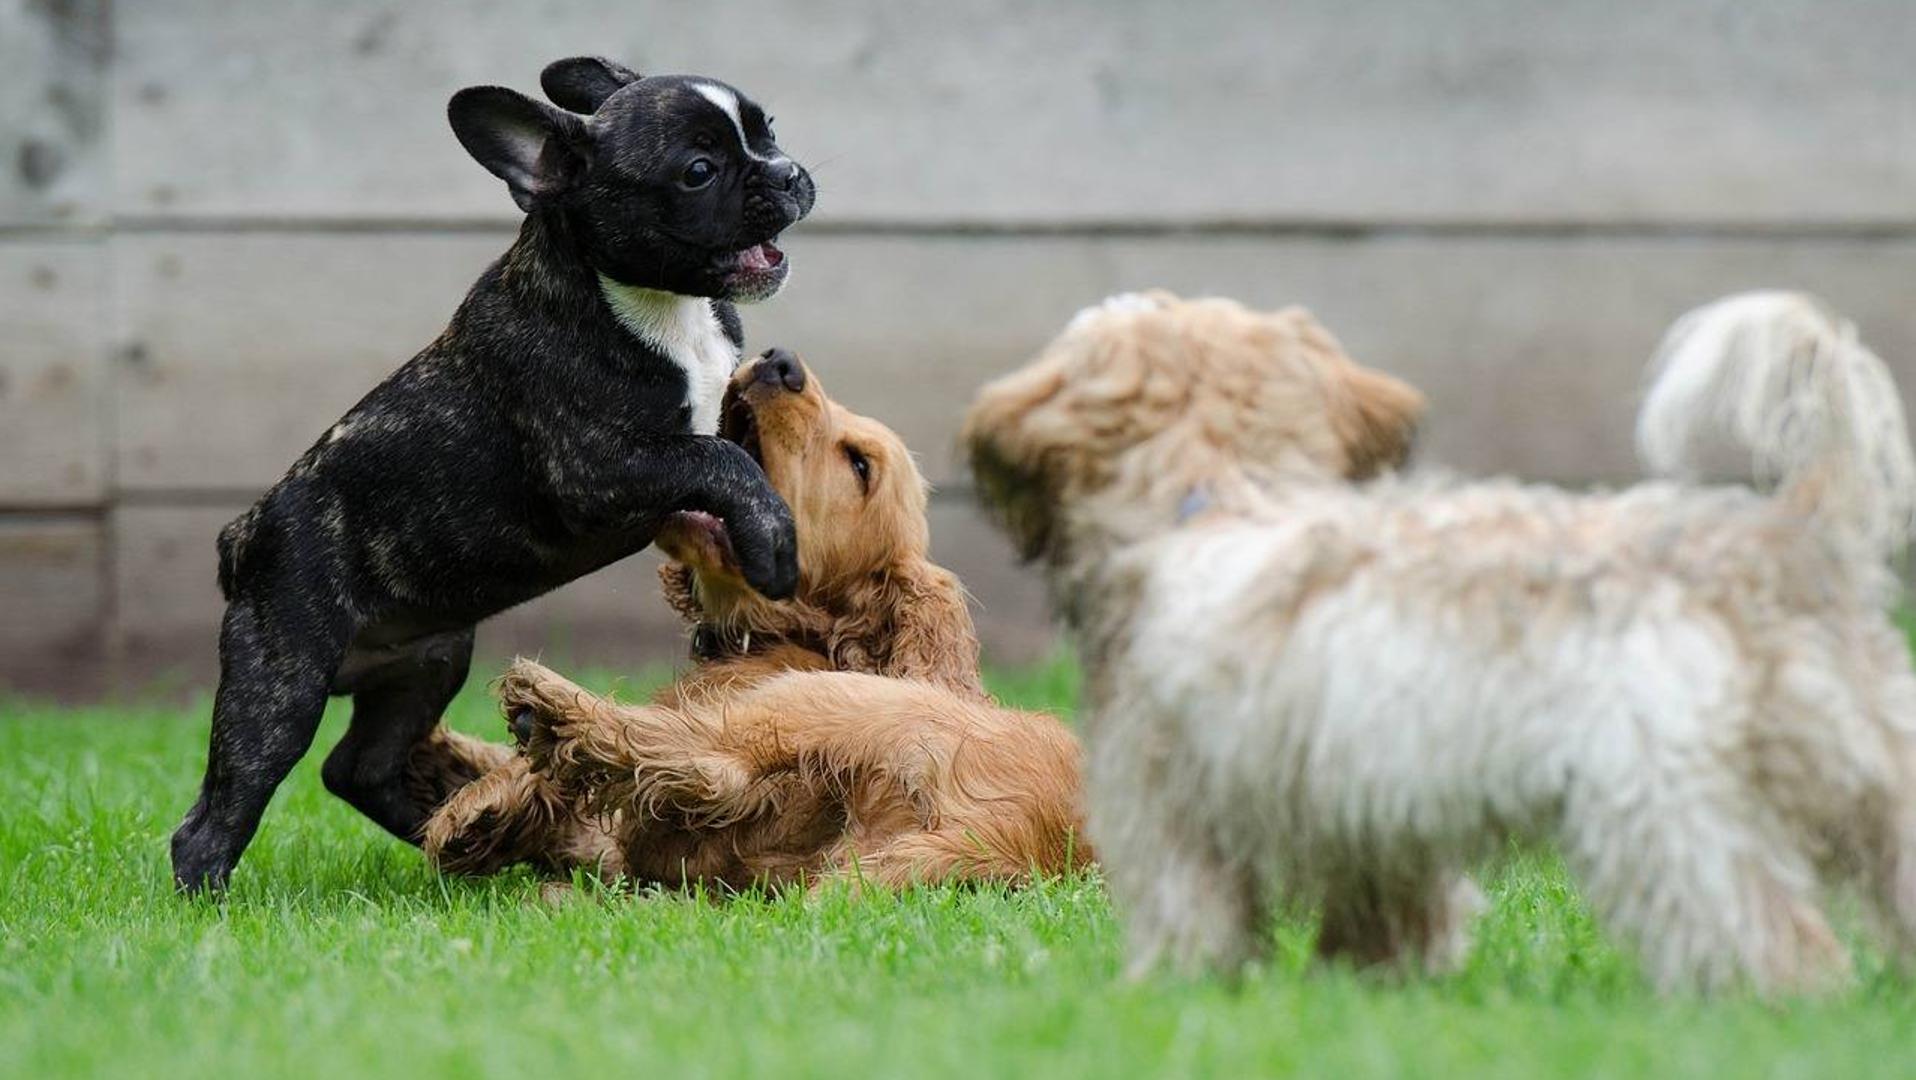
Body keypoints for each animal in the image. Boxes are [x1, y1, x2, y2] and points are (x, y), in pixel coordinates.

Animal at [410, 350, 1088, 888]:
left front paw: (479, 801)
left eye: (859, 465)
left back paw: (547, 708)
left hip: (825, 703)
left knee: (706, 762)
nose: (779, 362)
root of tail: (1011, 834)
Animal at [965, 289, 1916, 995]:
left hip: (1668, 810)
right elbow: (1388, 917)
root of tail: (1790, 538)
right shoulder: (1372, 817)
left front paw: (1170, 992)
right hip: (1880, 784)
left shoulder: (1170, 806)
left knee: (1770, 935)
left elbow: (1190, 915)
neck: (1221, 494)